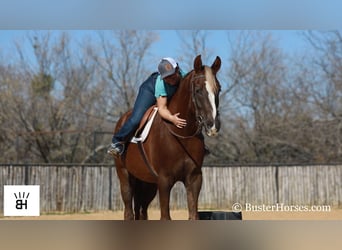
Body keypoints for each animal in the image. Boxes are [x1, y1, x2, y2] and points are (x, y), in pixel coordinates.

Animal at [114, 54, 222, 219]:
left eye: (219, 89)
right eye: (198, 90)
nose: (213, 125)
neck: (182, 135)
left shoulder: (194, 179)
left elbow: (193, 214)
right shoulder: (164, 181)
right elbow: (165, 215)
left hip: (147, 184)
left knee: (141, 210)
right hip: (125, 176)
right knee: (129, 211)